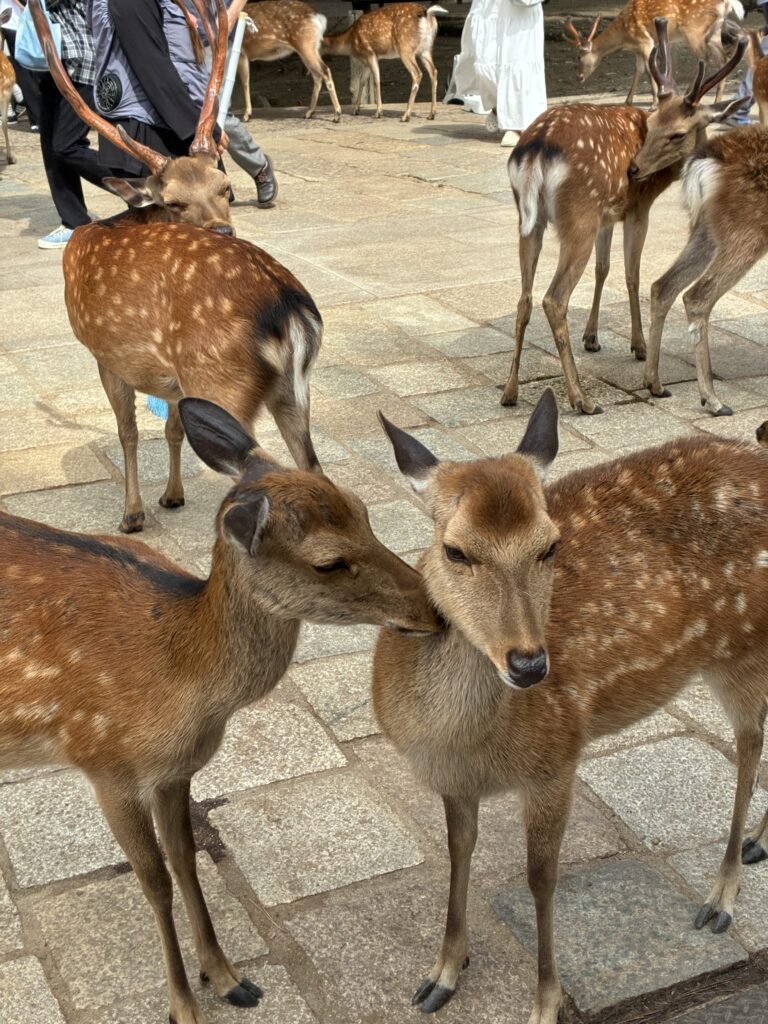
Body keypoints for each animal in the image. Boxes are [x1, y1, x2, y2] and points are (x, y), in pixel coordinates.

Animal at [0, 396, 443, 1024]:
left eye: (362, 509)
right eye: (328, 562)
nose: (435, 609)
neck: (180, 680)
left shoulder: (172, 771)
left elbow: (186, 859)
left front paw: (229, 976)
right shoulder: (104, 761)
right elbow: (154, 880)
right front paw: (183, 1005)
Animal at [29, 0, 325, 535]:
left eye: (226, 189)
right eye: (174, 201)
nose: (224, 229)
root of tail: (289, 310)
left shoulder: (105, 353)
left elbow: (126, 431)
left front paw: (132, 514)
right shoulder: (172, 377)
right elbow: (169, 428)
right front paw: (171, 495)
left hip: (220, 381)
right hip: (295, 391)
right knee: (315, 470)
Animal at [373, 387, 768, 1024]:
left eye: (550, 545)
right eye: (454, 551)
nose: (530, 665)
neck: (457, 738)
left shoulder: (556, 758)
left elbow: (541, 879)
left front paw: (544, 1002)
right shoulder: (454, 778)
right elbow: (460, 852)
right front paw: (442, 973)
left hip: (741, 650)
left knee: (750, 747)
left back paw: (720, 897)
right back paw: (757, 844)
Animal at [501, 18, 747, 415]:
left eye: (676, 131)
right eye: (654, 123)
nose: (633, 170)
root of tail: (536, 149)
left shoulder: (607, 214)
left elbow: (604, 269)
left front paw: (592, 337)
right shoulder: (636, 207)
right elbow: (632, 274)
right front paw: (638, 345)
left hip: (530, 221)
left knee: (524, 297)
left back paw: (509, 392)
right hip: (577, 216)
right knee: (553, 299)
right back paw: (581, 399)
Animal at [565, 0, 744, 108]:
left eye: (578, 57)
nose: (578, 77)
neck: (624, 37)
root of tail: (727, 3)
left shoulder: (645, 41)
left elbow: (650, 71)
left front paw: (654, 103)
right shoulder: (638, 48)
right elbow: (638, 70)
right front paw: (628, 101)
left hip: (695, 31)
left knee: (705, 58)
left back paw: (699, 95)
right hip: (714, 32)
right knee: (723, 58)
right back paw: (716, 98)